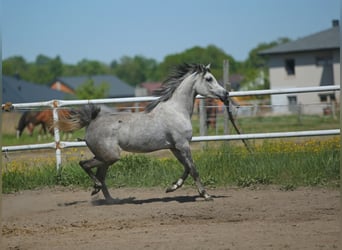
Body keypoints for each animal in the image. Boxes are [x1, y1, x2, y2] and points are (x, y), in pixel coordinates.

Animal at [56, 64, 227, 201]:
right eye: (209, 79)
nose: (225, 94)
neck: (177, 110)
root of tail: (91, 122)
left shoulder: (175, 147)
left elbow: (187, 168)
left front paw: (172, 187)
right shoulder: (182, 145)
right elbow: (193, 169)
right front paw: (206, 195)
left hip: (106, 157)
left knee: (100, 175)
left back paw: (109, 198)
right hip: (110, 156)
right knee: (86, 165)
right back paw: (98, 188)